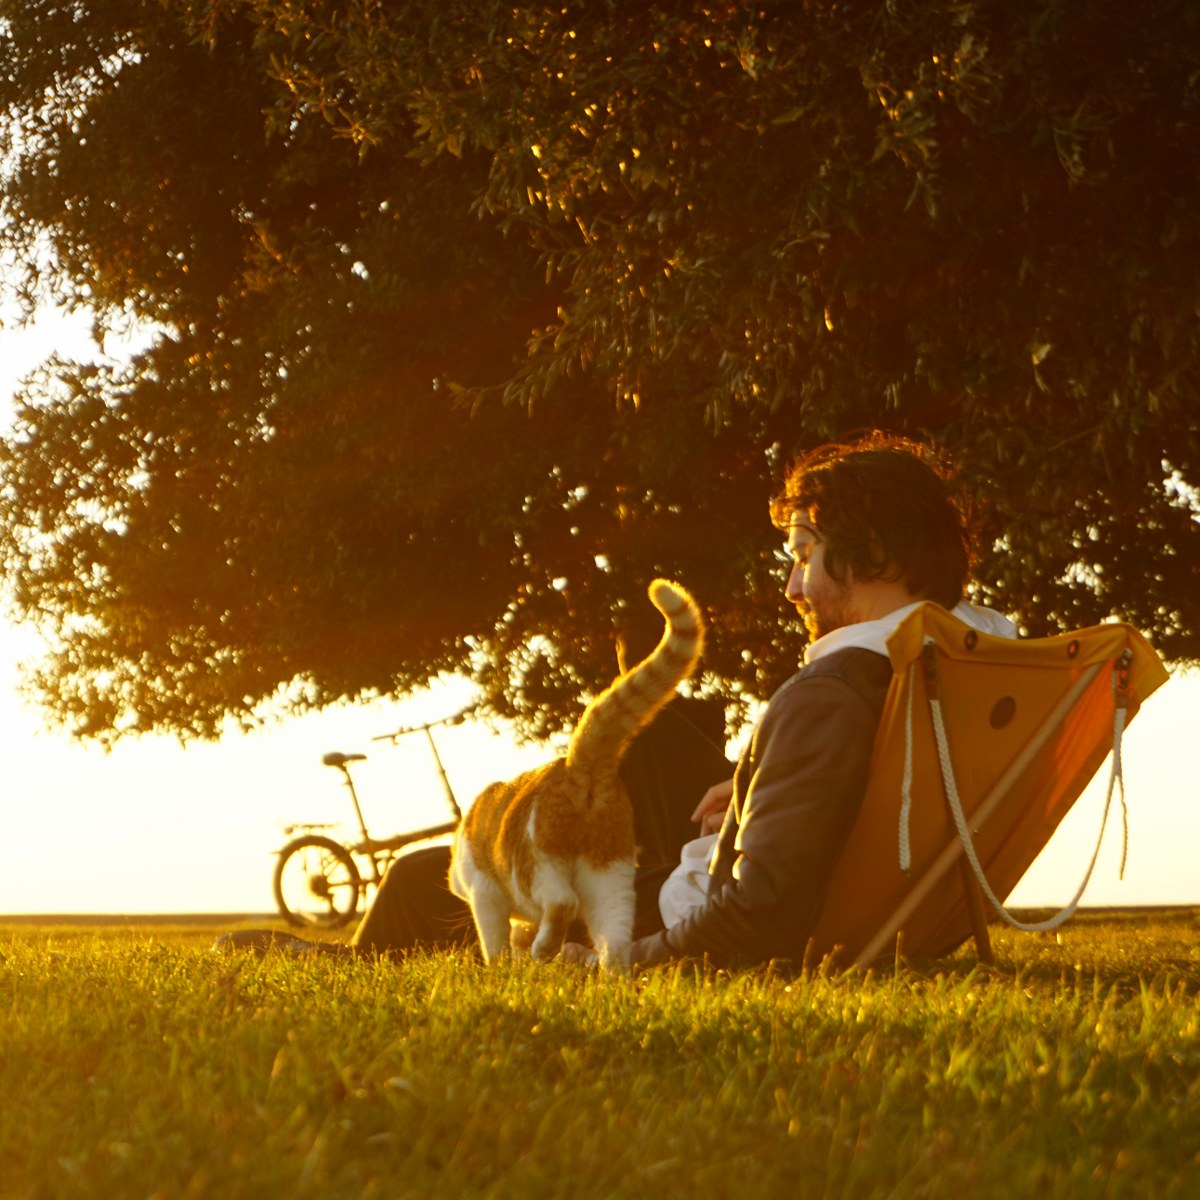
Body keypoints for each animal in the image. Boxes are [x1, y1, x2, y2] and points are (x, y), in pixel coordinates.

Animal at [448, 580, 700, 974]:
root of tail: (579, 767)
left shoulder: (485, 894)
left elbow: (495, 941)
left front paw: (502, 968)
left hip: (534, 866)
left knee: (562, 901)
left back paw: (545, 949)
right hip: (611, 878)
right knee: (614, 939)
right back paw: (610, 978)